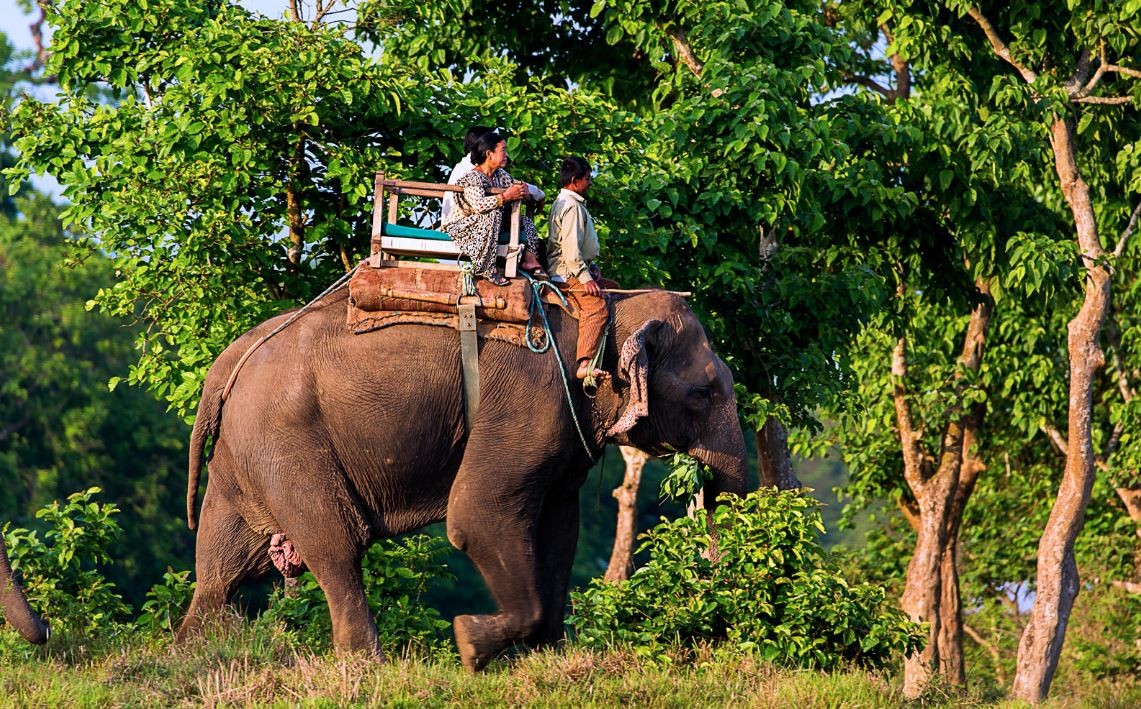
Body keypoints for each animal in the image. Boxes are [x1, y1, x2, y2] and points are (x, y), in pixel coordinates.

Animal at [177, 283, 748, 671]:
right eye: (703, 393)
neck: (605, 306)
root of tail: (226, 362)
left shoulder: (564, 431)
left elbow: (560, 531)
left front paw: (550, 659)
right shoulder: (527, 403)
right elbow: (476, 517)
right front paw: (469, 644)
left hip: (245, 458)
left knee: (222, 567)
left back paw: (192, 653)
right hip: (287, 445)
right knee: (336, 545)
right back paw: (366, 664)